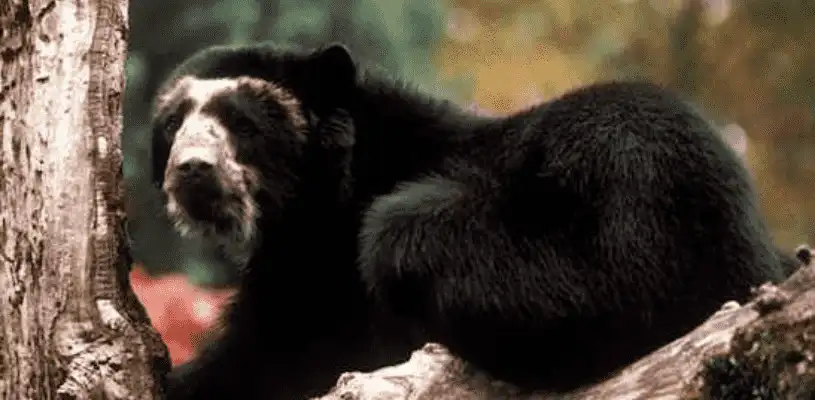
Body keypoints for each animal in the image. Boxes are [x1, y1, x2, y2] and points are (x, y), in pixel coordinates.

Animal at [147, 41, 800, 399]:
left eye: (243, 121)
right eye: (173, 124)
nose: (193, 170)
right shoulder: (294, 287)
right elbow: (256, 358)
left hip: (636, 175)